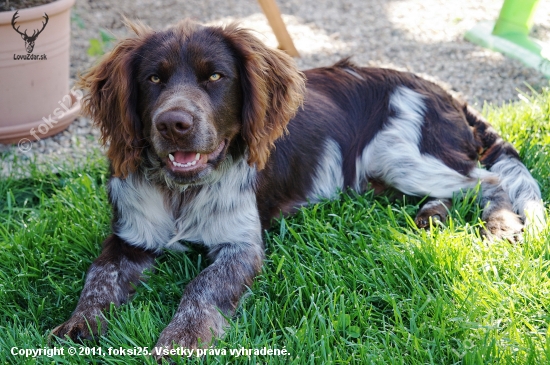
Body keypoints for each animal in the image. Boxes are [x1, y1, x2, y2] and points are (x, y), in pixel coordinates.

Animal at [52, 19, 548, 352]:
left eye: (216, 77)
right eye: (153, 78)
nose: (174, 124)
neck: (182, 190)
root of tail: (446, 92)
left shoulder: (241, 246)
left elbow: (202, 288)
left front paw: (182, 337)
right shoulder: (128, 236)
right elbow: (98, 277)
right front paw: (77, 325)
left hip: (403, 156)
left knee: (485, 179)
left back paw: (501, 225)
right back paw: (431, 216)